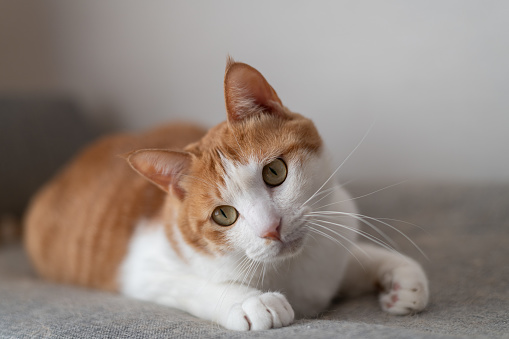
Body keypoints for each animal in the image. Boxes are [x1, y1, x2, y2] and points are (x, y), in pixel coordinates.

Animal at [24, 59, 428, 332]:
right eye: (224, 215)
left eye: (274, 172)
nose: (272, 228)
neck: (292, 270)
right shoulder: (139, 269)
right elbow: (192, 285)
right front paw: (250, 301)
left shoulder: (333, 240)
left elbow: (359, 257)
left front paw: (401, 278)